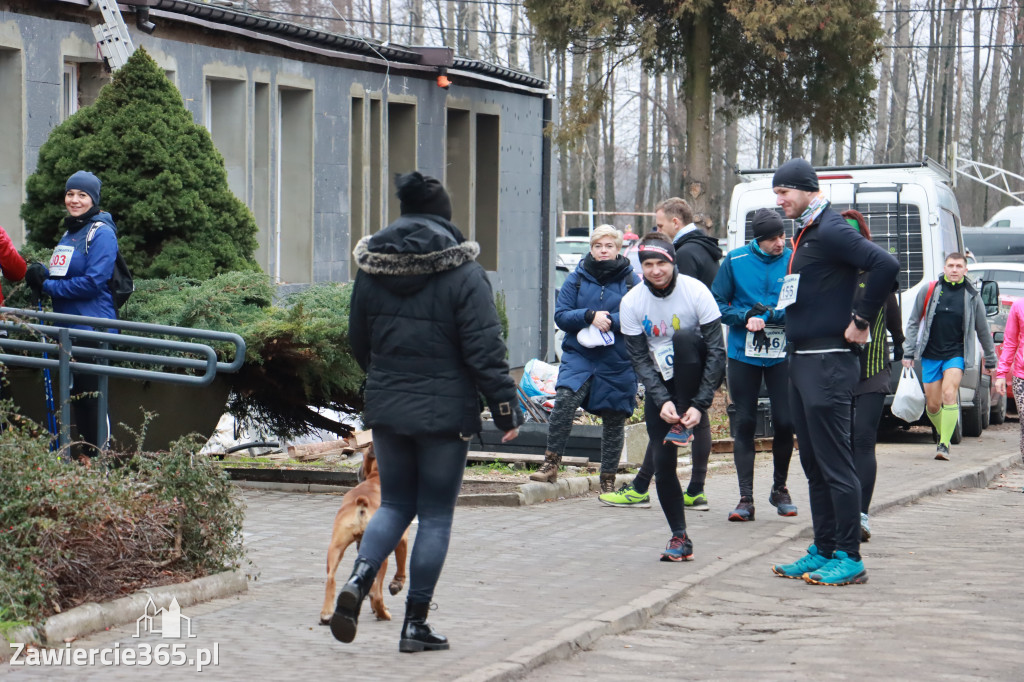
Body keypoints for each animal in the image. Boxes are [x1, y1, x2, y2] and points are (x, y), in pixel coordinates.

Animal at [319, 440, 407, 622]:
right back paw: (383, 613)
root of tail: (362, 504)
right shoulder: (403, 538)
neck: (376, 477)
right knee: (376, 593)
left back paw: (327, 614)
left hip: (336, 547)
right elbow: (401, 566)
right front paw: (397, 584)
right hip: (381, 557)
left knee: (331, 579)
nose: (358, 472)